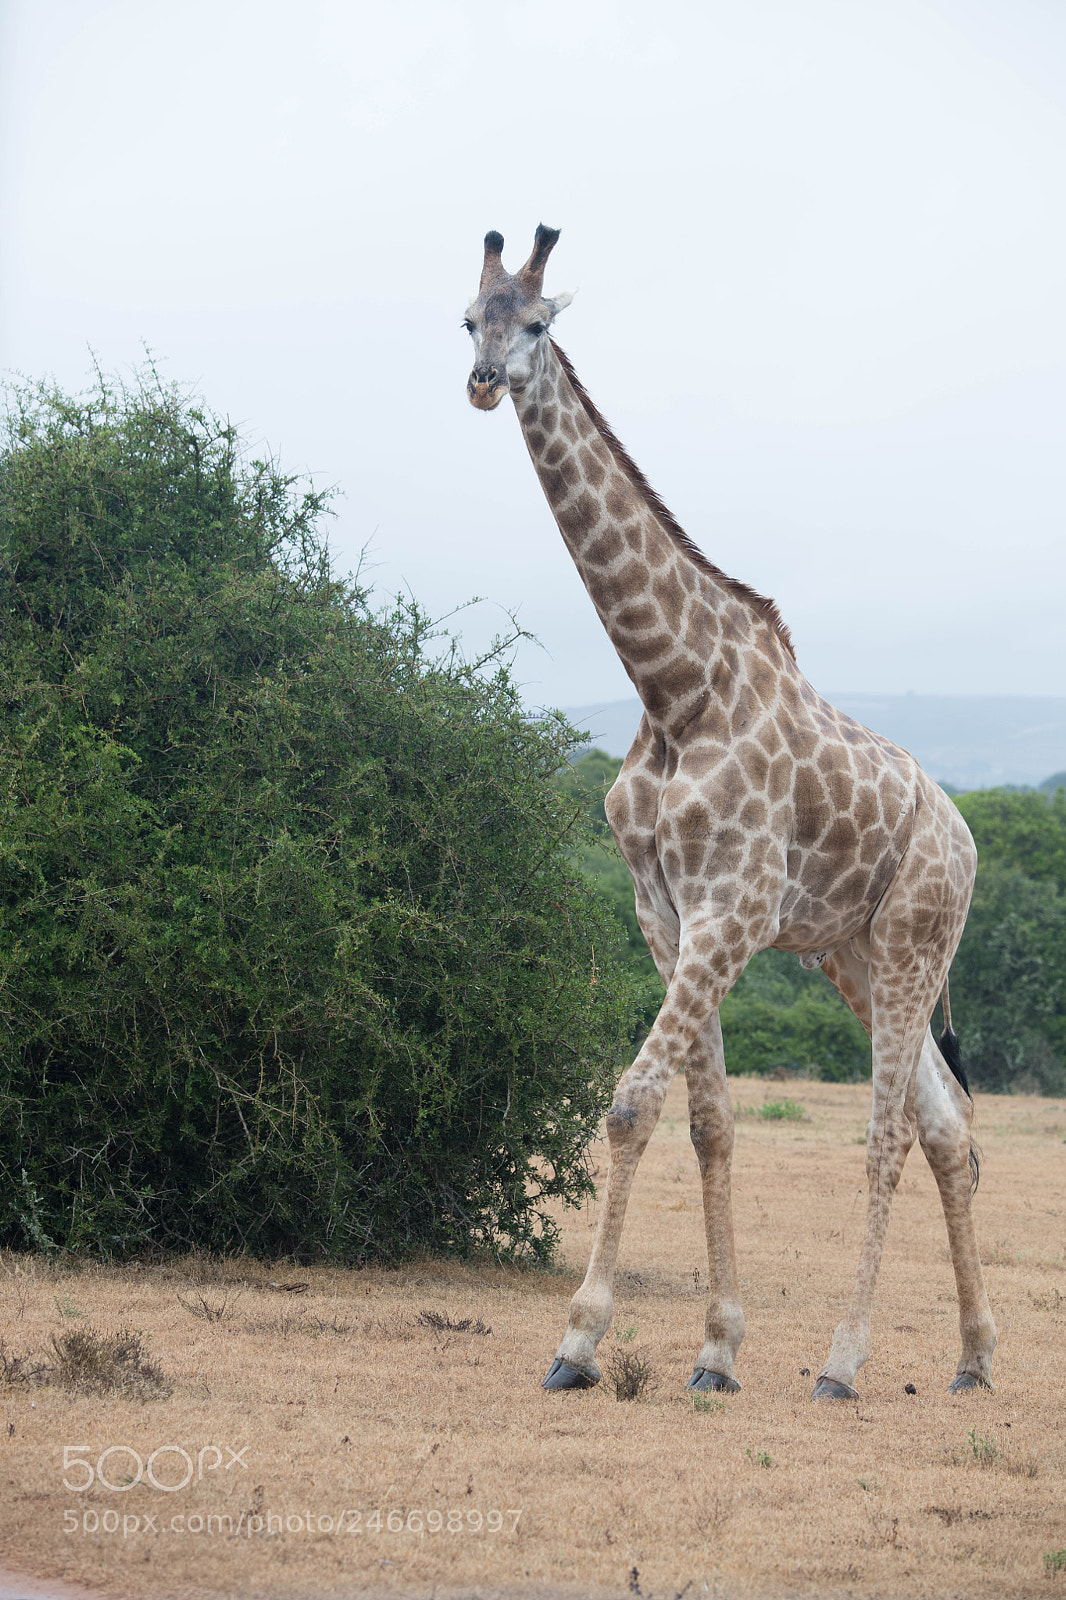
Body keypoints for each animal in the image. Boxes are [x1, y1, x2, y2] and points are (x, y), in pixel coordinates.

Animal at [463, 224, 996, 1400]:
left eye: (538, 323)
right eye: (467, 317)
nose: (480, 380)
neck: (675, 687)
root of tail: (968, 836)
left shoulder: (732, 909)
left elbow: (629, 1103)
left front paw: (578, 1342)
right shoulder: (664, 912)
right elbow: (707, 1120)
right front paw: (715, 1348)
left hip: (912, 938)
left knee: (889, 1131)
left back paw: (844, 1362)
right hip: (850, 950)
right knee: (945, 1122)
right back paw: (976, 1356)